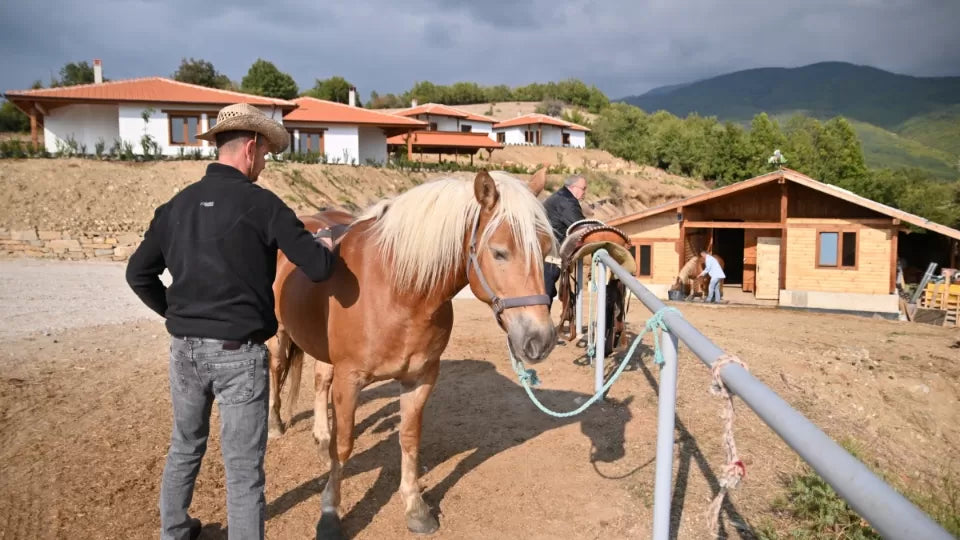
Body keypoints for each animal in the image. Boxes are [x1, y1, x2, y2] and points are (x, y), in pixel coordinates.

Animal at [266, 168, 558, 538]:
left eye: (546, 249)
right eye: (499, 252)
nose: (541, 339)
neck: (397, 291)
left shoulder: (420, 378)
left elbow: (409, 439)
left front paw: (415, 507)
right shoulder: (350, 380)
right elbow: (344, 445)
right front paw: (330, 513)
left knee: (320, 380)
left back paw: (320, 434)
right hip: (279, 334)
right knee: (277, 370)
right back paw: (276, 424)